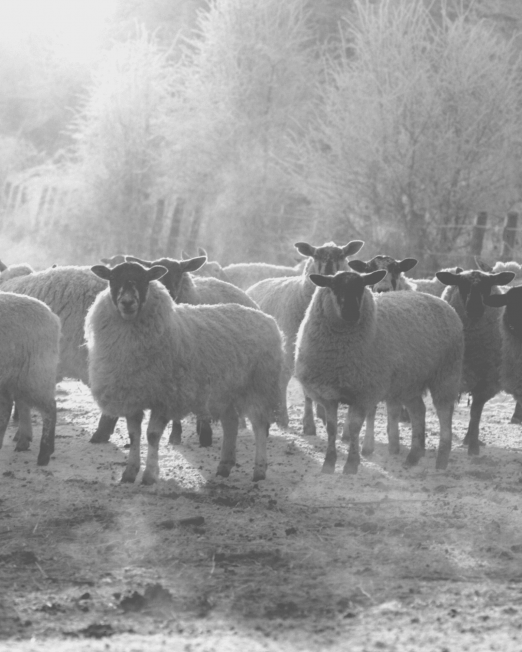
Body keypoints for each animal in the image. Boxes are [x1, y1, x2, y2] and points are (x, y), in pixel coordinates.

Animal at [0, 292, 60, 465]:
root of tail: (51, 315)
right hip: (11, 376)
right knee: (6, 407)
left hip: (35, 374)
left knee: (49, 408)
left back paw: (44, 454)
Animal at [246, 240, 365, 435]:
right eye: (315, 256)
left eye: (342, 256)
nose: (329, 275)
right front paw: (308, 425)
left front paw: (323, 415)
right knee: (280, 381)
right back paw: (279, 416)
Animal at [294, 270, 464, 473]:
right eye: (334, 288)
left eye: (361, 288)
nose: (351, 313)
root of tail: (444, 303)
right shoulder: (328, 393)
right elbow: (331, 428)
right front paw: (328, 463)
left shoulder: (364, 392)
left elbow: (354, 427)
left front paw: (351, 465)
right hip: (409, 382)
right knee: (418, 411)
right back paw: (413, 456)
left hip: (446, 374)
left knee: (444, 413)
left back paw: (441, 461)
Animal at [436, 269, 515, 455]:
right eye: (462, 285)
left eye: (487, 286)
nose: (475, 307)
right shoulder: (450, 379)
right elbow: (448, 412)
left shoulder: (486, 382)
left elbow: (475, 413)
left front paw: (473, 447)